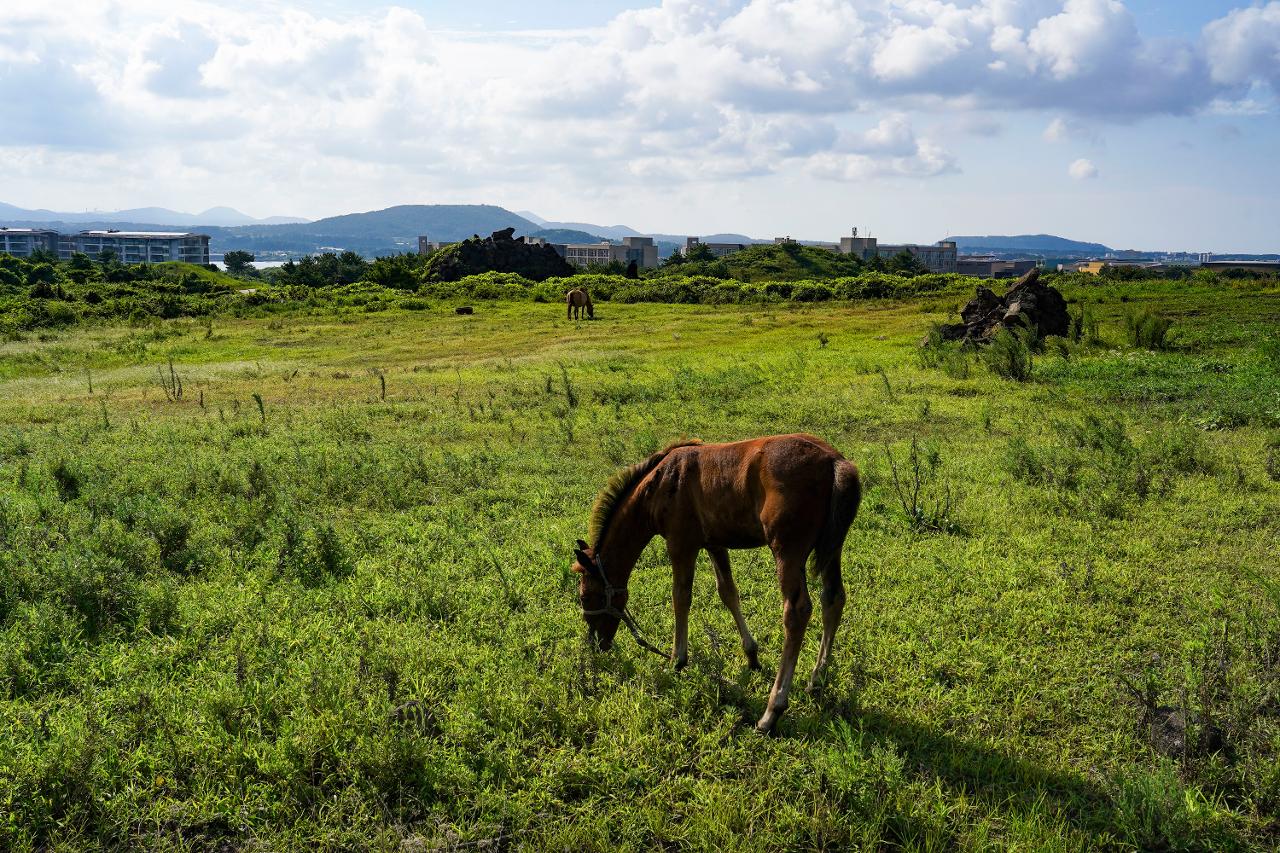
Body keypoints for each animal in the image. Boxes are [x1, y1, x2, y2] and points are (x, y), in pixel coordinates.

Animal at [576, 432, 865, 732]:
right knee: (833, 599)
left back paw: (772, 711)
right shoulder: (714, 543)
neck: (659, 483)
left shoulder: (680, 544)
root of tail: (834, 461)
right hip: (832, 549)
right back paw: (816, 680)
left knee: (797, 612)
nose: (596, 643)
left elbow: (681, 597)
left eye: (585, 597)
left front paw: (676, 660)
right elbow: (728, 592)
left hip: (787, 550)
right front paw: (751, 655)